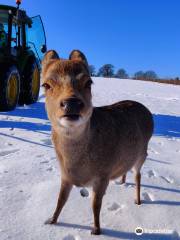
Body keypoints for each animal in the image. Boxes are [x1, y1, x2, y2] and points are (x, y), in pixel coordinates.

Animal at [41, 49, 153, 234]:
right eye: (45, 85)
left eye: (89, 82)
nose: (71, 103)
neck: (77, 166)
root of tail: (149, 112)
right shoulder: (65, 175)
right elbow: (60, 199)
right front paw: (51, 221)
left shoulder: (103, 174)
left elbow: (95, 204)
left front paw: (96, 230)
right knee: (127, 168)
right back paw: (122, 181)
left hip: (143, 153)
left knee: (138, 175)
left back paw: (138, 201)